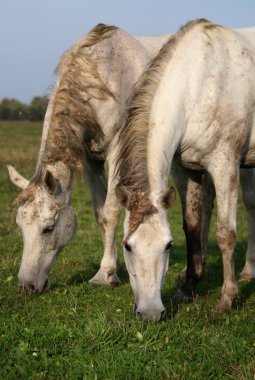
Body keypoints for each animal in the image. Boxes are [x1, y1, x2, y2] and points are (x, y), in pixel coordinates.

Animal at [116, 18, 255, 320]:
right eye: (128, 246)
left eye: (168, 246)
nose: (151, 312)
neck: (199, 84)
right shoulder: (185, 171)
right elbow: (192, 225)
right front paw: (188, 287)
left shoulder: (225, 165)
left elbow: (226, 233)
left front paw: (227, 299)